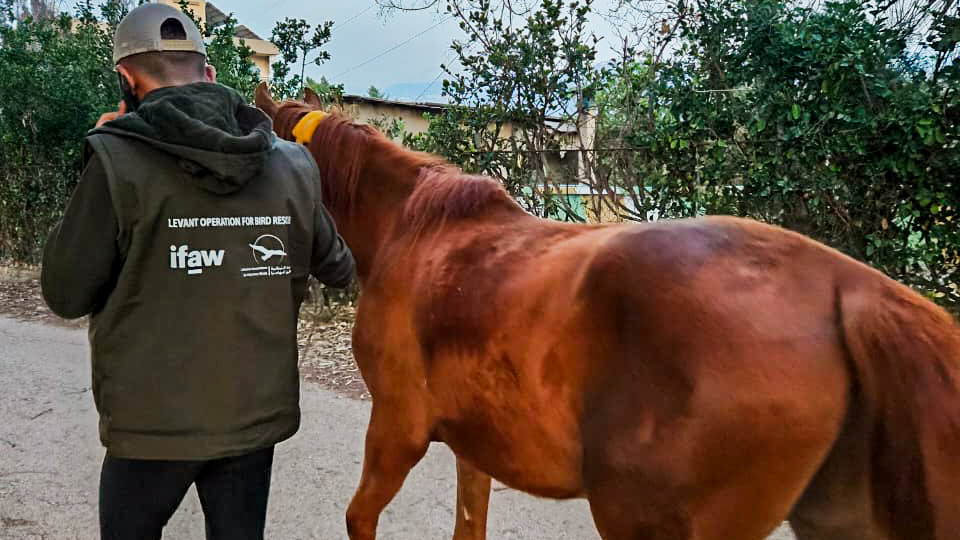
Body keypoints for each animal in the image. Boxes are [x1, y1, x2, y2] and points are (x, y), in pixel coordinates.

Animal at [254, 83, 960, 540]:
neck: (414, 226)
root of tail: (845, 286)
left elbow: (360, 518)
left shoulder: (397, 428)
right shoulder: (473, 442)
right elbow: (468, 524)